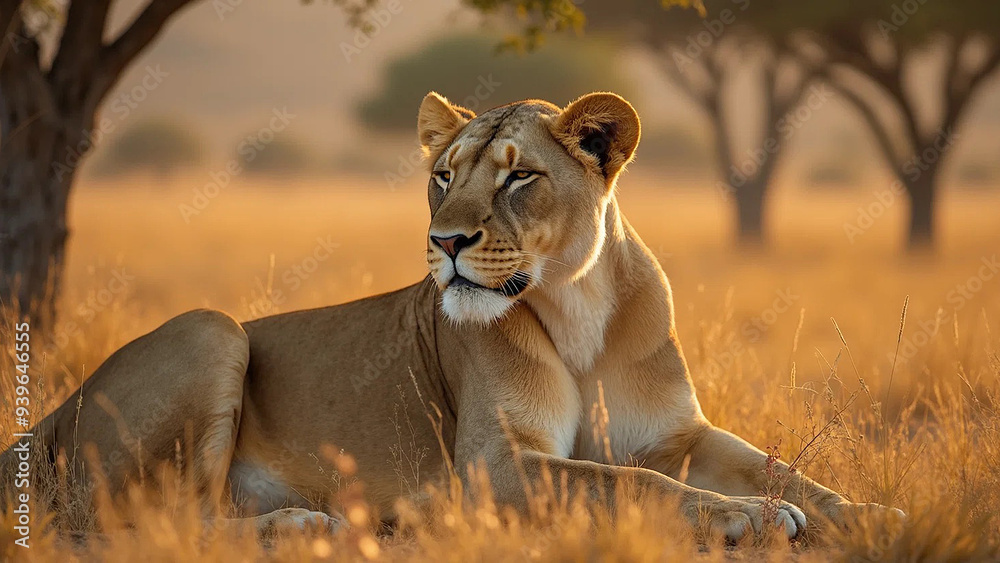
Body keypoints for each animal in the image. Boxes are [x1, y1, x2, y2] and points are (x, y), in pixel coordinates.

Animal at [3, 92, 899, 542]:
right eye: (442, 174)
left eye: (518, 177)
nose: (445, 241)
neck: (580, 305)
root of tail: (42, 417)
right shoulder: (493, 467)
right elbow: (626, 482)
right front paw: (744, 517)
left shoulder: (680, 434)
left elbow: (782, 470)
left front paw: (869, 513)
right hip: (212, 327)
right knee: (145, 524)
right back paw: (301, 525)